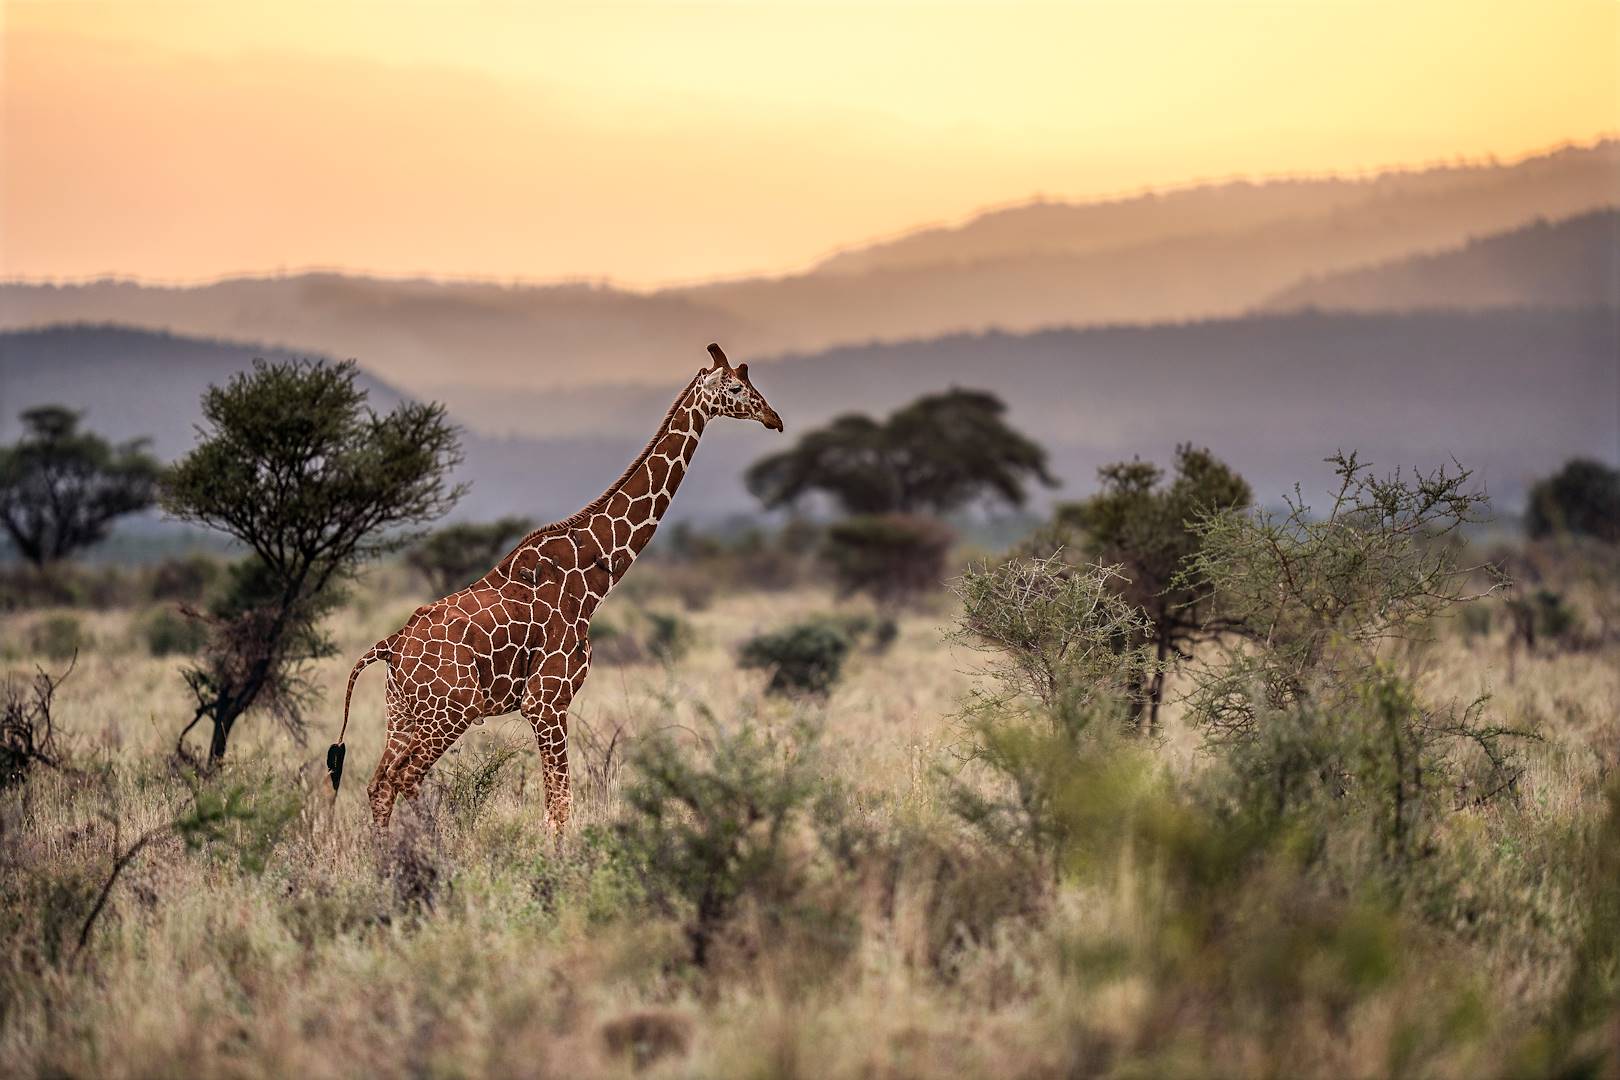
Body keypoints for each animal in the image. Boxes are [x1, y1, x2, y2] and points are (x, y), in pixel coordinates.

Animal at [327, 343, 783, 829]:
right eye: (735, 388)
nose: (773, 418)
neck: (594, 578)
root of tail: (391, 646)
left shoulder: (546, 705)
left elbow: (556, 804)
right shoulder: (546, 701)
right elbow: (561, 806)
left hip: (403, 712)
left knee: (379, 785)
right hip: (451, 711)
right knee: (403, 778)